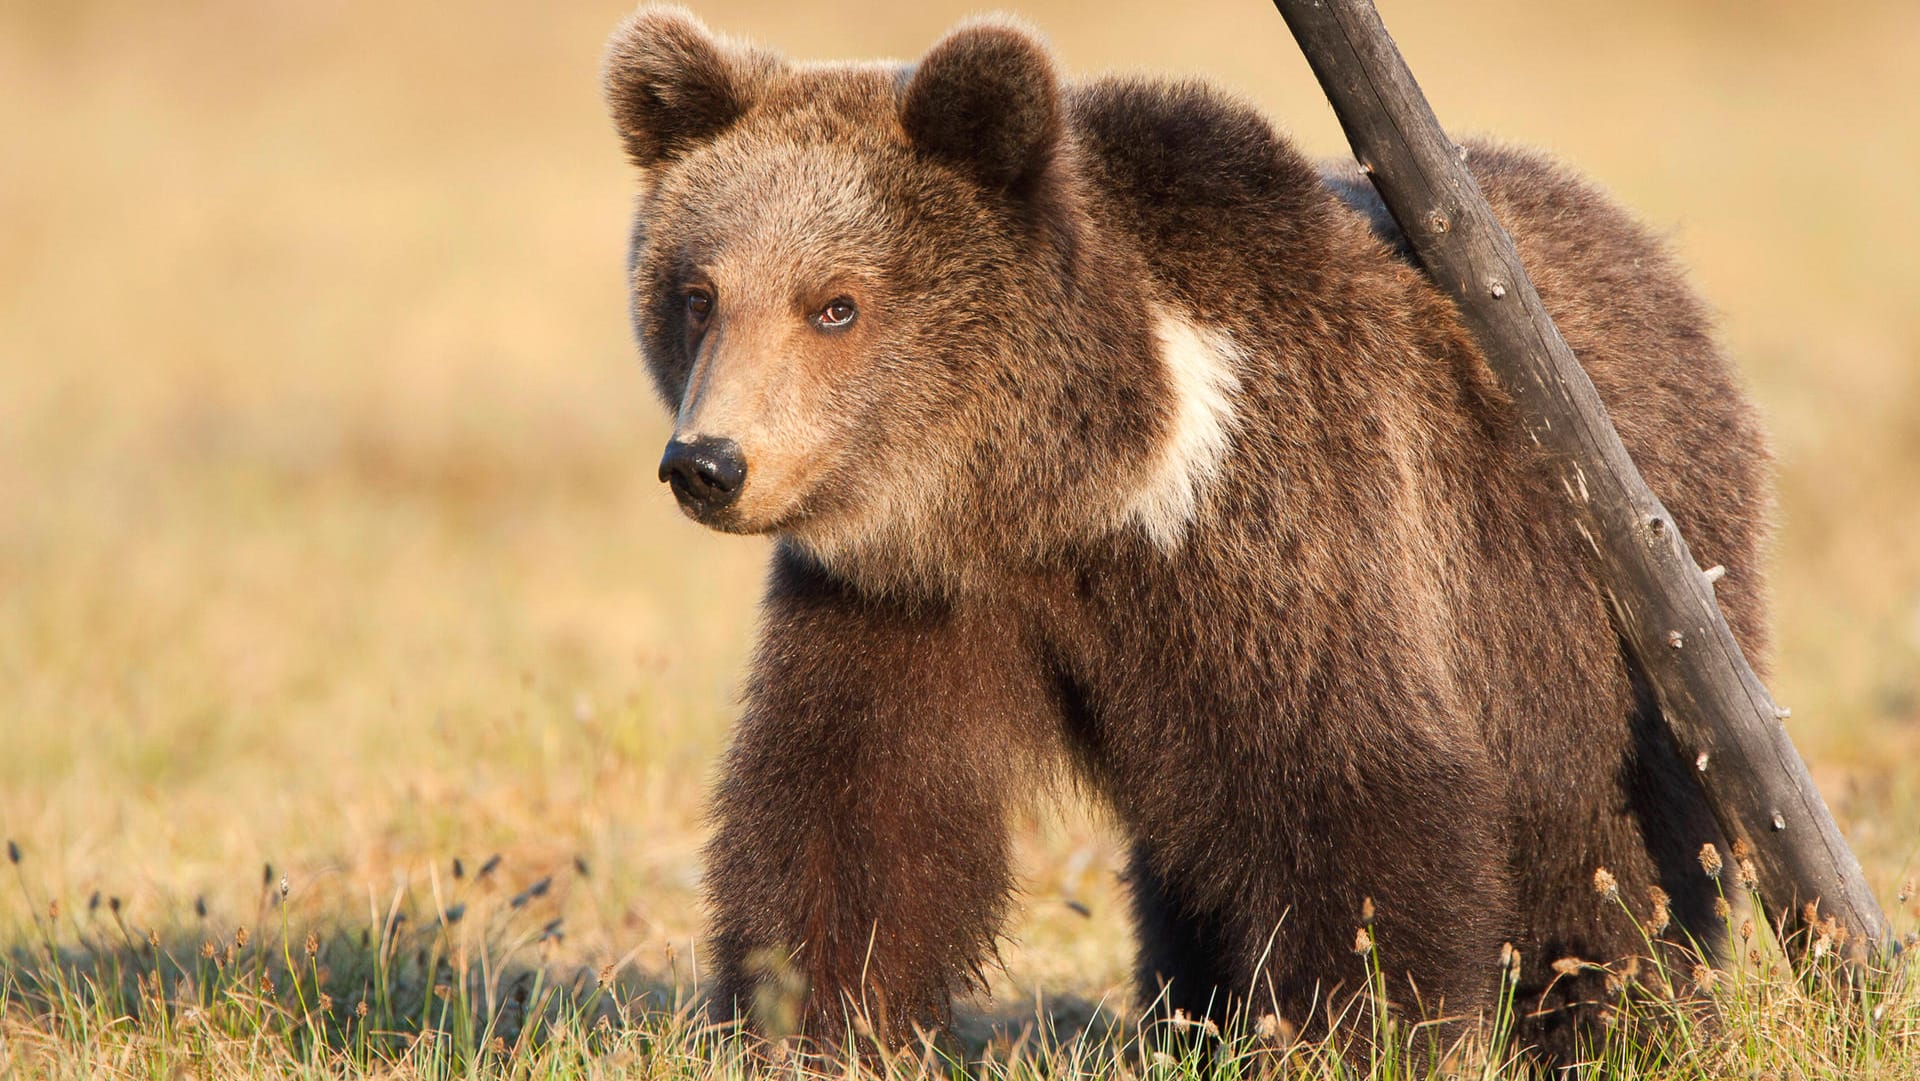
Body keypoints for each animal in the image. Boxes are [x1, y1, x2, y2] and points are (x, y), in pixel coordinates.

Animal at [595, 4, 1766, 1059]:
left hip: (1597, 611)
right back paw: (1191, 1014)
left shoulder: (1280, 535)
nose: (708, 463)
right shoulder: (908, 599)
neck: (1072, 493)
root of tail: (1633, 240)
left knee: (1614, 849)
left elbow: (1349, 802)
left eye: (836, 303)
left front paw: (1351, 1030)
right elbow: (852, 812)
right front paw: (811, 1022)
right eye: (699, 293)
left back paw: (1618, 1020)